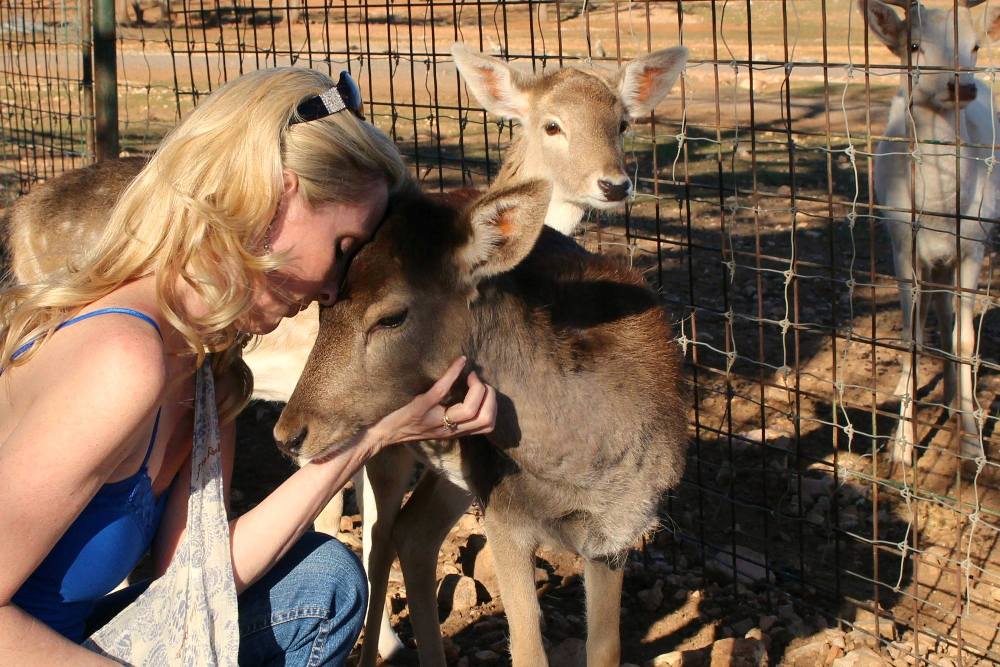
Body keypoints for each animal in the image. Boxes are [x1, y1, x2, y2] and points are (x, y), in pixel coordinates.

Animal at [274, 179, 688, 667]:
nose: (288, 434)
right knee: (377, 542)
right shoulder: (505, 519)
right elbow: (528, 651)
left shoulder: (616, 536)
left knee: (413, 534)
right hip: (390, 452)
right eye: (322, 309)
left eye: (392, 317)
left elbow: (606, 650)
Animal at [860, 0, 1000, 462]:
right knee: (930, 318)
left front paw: (973, 445)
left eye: (975, 45)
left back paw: (958, 401)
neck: (939, 211)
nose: (963, 87)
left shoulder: (973, 246)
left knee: (949, 318)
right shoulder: (903, 244)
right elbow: (910, 339)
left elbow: (964, 342)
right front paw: (901, 447)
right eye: (914, 45)